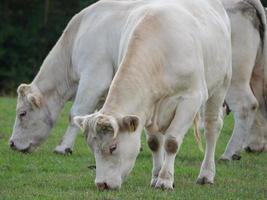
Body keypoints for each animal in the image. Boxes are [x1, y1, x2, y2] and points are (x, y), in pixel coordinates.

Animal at [74, 0, 232, 189]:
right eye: (92, 148)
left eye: (113, 147)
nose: (101, 184)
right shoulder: (147, 106)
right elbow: (155, 143)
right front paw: (156, 176)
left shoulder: (191, 98)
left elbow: (171, 142)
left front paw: (165, 180)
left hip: (221, 85)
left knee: (211, 128)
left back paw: (206, 174)